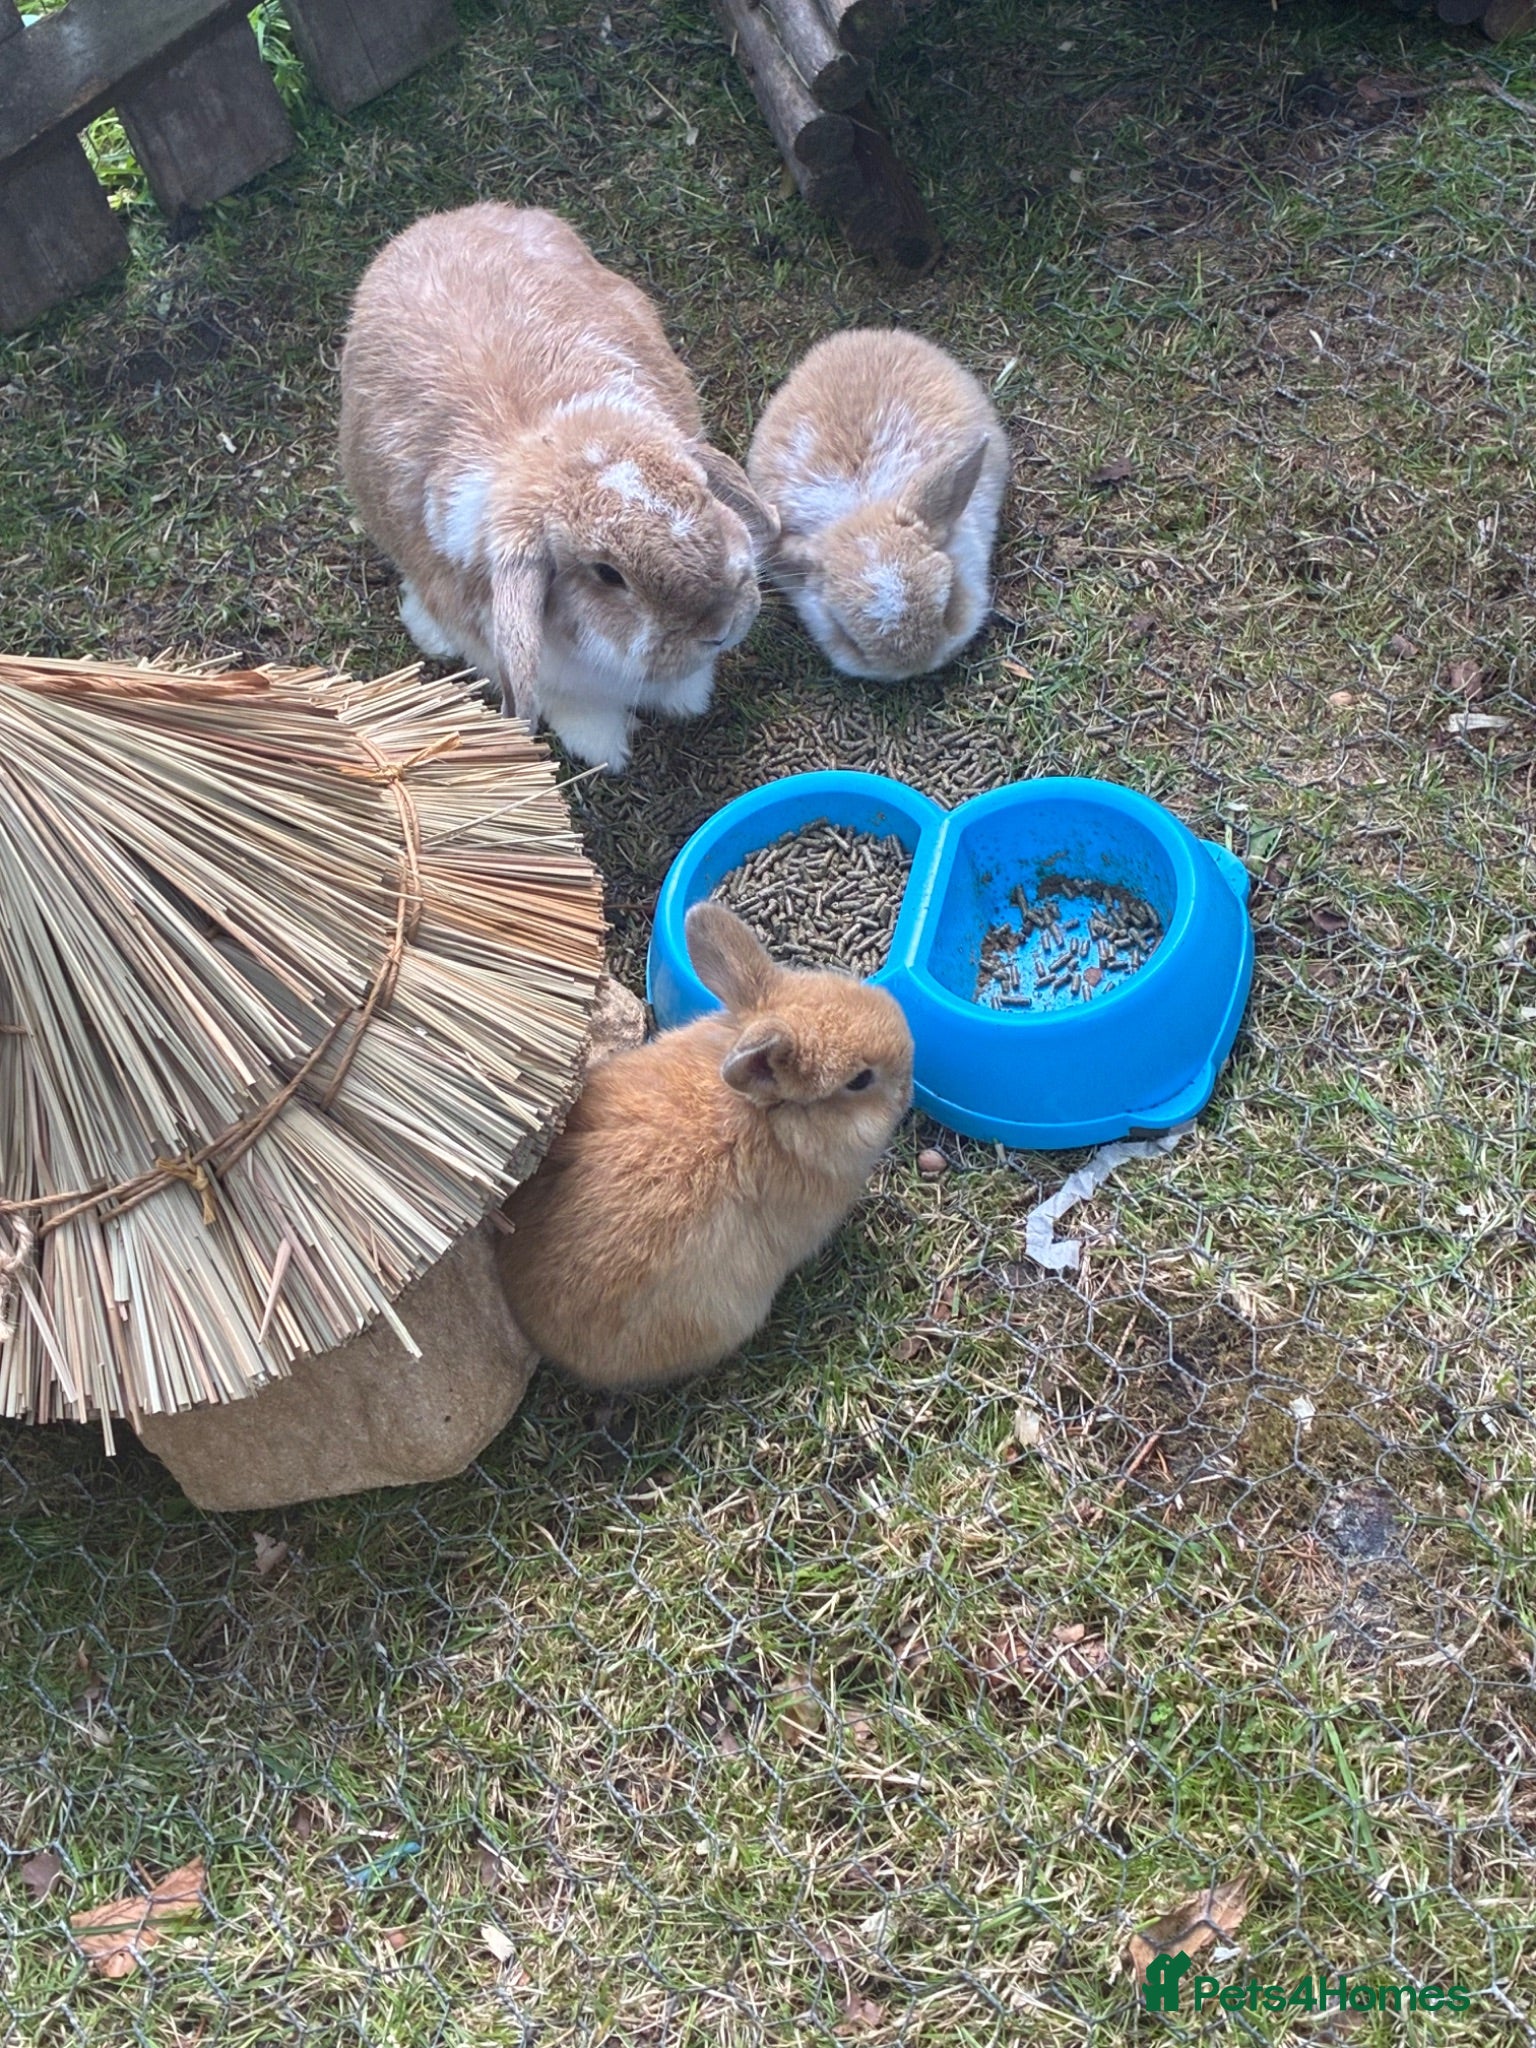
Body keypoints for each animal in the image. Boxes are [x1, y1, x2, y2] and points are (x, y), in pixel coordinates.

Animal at [339, 204, 778, 772]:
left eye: (705, 493)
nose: (720, 628)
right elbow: (572, 705)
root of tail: (439, 220)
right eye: (607, 574)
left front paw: (687, 697)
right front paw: (606, 750)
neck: (554, 451)